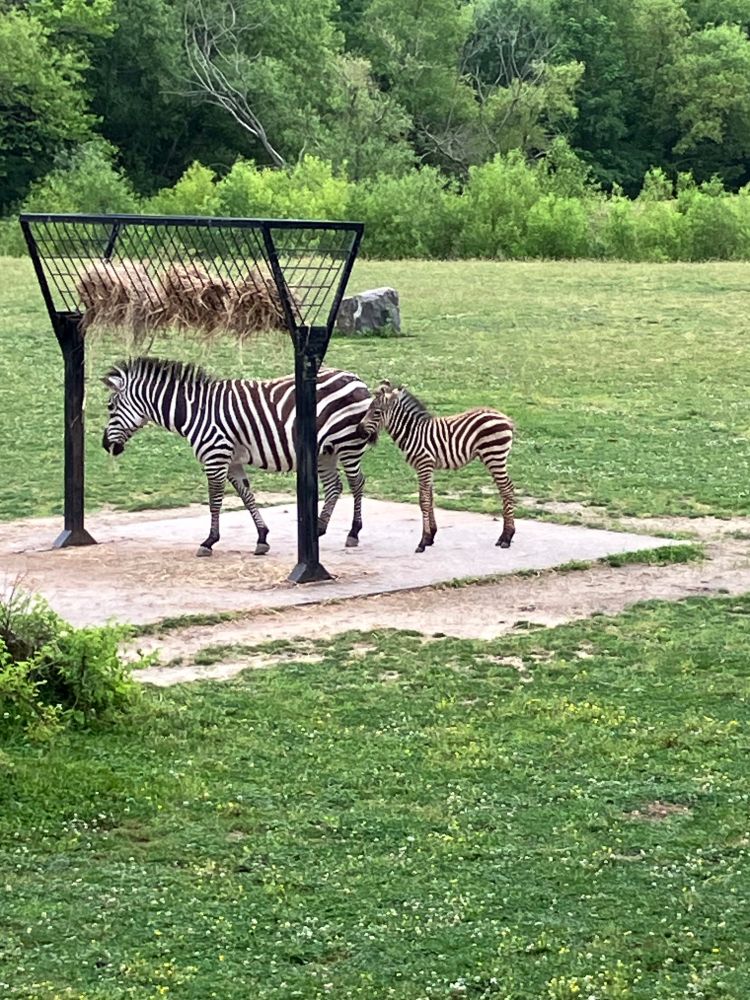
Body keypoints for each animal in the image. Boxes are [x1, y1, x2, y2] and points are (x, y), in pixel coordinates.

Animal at [101, 357, 372, 556]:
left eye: (110, 407)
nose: (105, 446)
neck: (194, 411)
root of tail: (356, 378)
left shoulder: (215, 457)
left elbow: (215, 501)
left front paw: (209, 541)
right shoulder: (231, 462)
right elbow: (246, 495)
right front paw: (262, 538)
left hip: (348, 444)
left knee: (357, 483)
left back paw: (353, 532)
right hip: (326, 451)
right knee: (335, 486)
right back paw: (319, 529)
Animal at [358, 380, 515, 553]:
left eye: (377, 412)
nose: (358, 430)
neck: (412, 433)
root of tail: (505, 418)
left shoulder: (424, 464)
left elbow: (424, 501)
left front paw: (423, 541)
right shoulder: (428, 467)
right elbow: (430, 498)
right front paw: (431, 536)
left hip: (494, 455)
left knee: (507, 489)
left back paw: (506, 538)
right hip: (494, 456)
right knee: (506, 488)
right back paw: (505, 536)